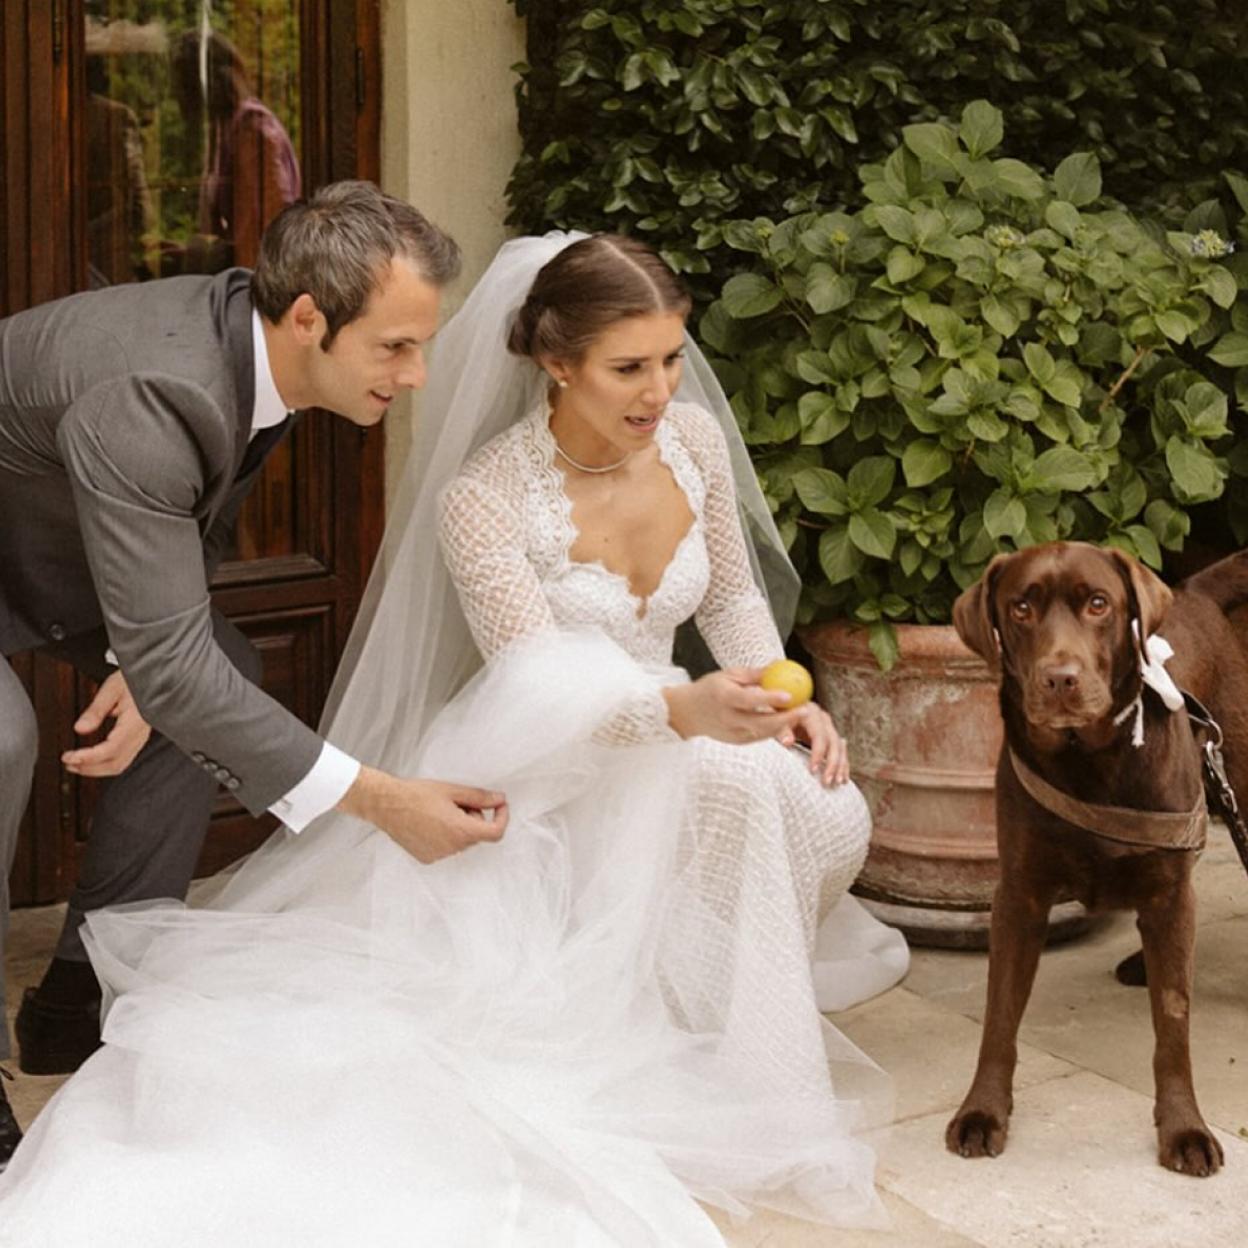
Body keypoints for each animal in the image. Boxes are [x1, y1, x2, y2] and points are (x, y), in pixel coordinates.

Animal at [943, 541, 1248, 1173]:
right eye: (1022, 607)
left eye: (1099, 604)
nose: (1061, 678)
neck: (1088, 760)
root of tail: (1198, 590)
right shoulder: (1019, 896)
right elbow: (999, 1018)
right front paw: (983, 1111)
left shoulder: (1169, 888)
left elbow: (1173, 1024)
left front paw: (1184, 1127)